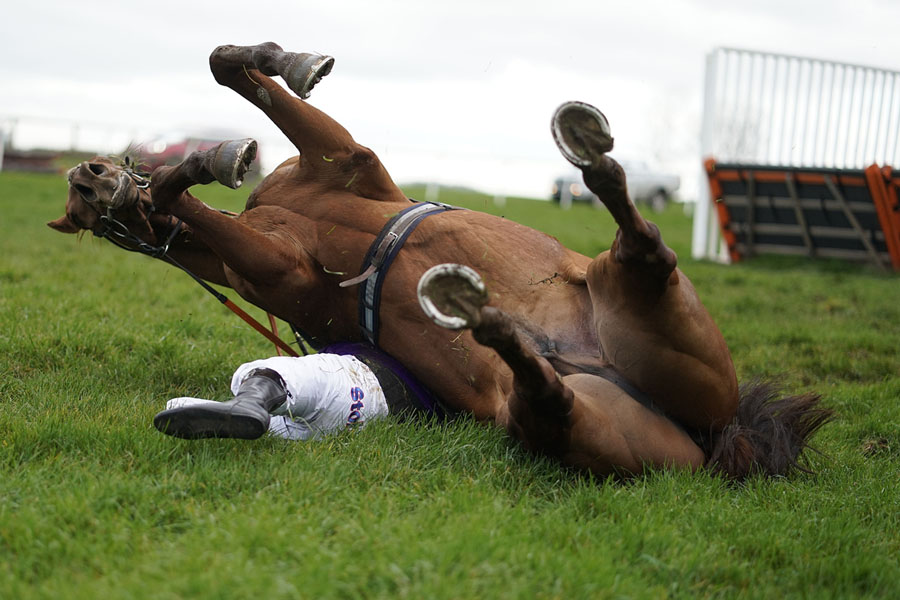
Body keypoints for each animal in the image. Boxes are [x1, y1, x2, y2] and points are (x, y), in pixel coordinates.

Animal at [51, 42, 828, 480]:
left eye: (88, 198)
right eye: (88, 218)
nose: (91, 177)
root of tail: (718, 436)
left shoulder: (343, 160)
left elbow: (225, 68)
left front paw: (262, 95)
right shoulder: (278, 268)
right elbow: (184, 195)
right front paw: (189, 171)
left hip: (644, 317)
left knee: (643, 247)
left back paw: (587, 157)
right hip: (584, 411)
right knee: (552, 389)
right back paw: (477, 305)